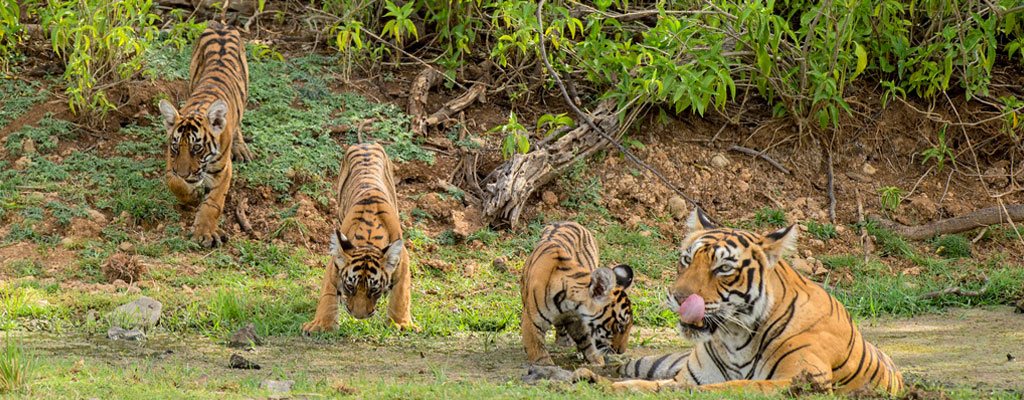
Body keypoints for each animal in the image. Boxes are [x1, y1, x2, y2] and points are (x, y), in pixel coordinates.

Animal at [602, 208, 901, 396]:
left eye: (723, 268)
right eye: (687, 260)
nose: (678, 298)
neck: (735, 338)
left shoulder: (803, 381)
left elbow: (731, 387)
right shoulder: (688, 374)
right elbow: (655, 385)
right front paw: (613, 386)